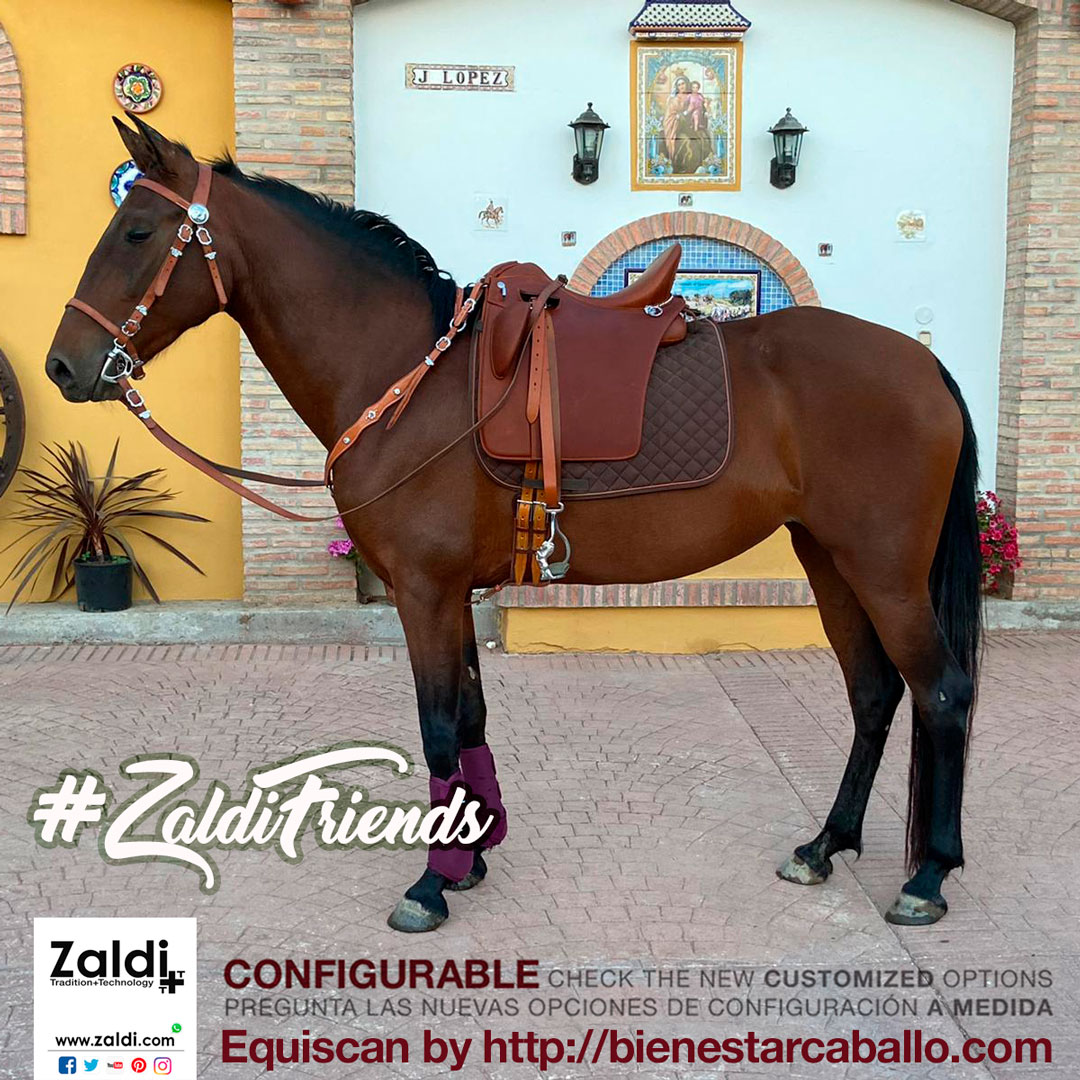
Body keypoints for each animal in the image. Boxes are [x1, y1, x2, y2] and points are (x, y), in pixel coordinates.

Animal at [46, 118, 982, 933]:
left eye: (136, 230)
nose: (62, 366)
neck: (405, 379)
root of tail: (924, 362)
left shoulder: (423, 591)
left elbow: (436, 729)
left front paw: (430, 883)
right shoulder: (452, 592)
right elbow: (470, 717)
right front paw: (472, 855)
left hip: (885, 570)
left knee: (942, 692)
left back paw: (928, 876)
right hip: (830, 559)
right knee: (874, 693)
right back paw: (826, 845)